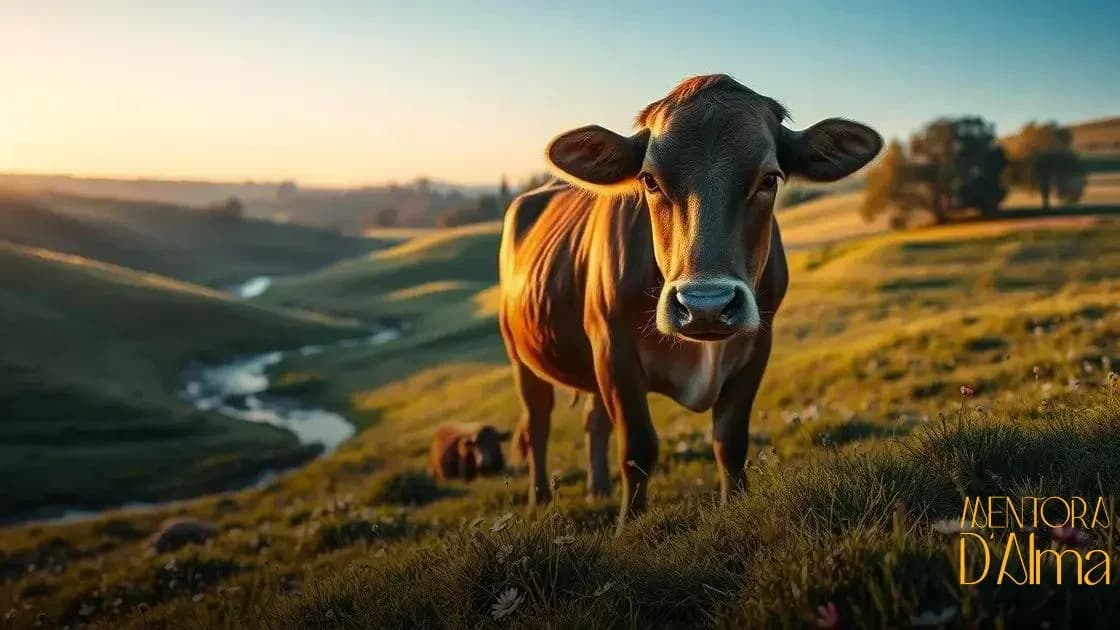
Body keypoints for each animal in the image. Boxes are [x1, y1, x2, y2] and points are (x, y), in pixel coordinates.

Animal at [498, 74, 882, 530]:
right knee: (537, 424)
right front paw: (628, 530)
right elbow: (638, 449)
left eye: (769, 179)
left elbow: (730, 442)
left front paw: (734, 511)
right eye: (649, 180)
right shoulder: (613, 349)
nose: (706, 305)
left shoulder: (757, 344)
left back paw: (598, 491)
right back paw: (539, 501)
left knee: (593, 421)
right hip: (521, 354)